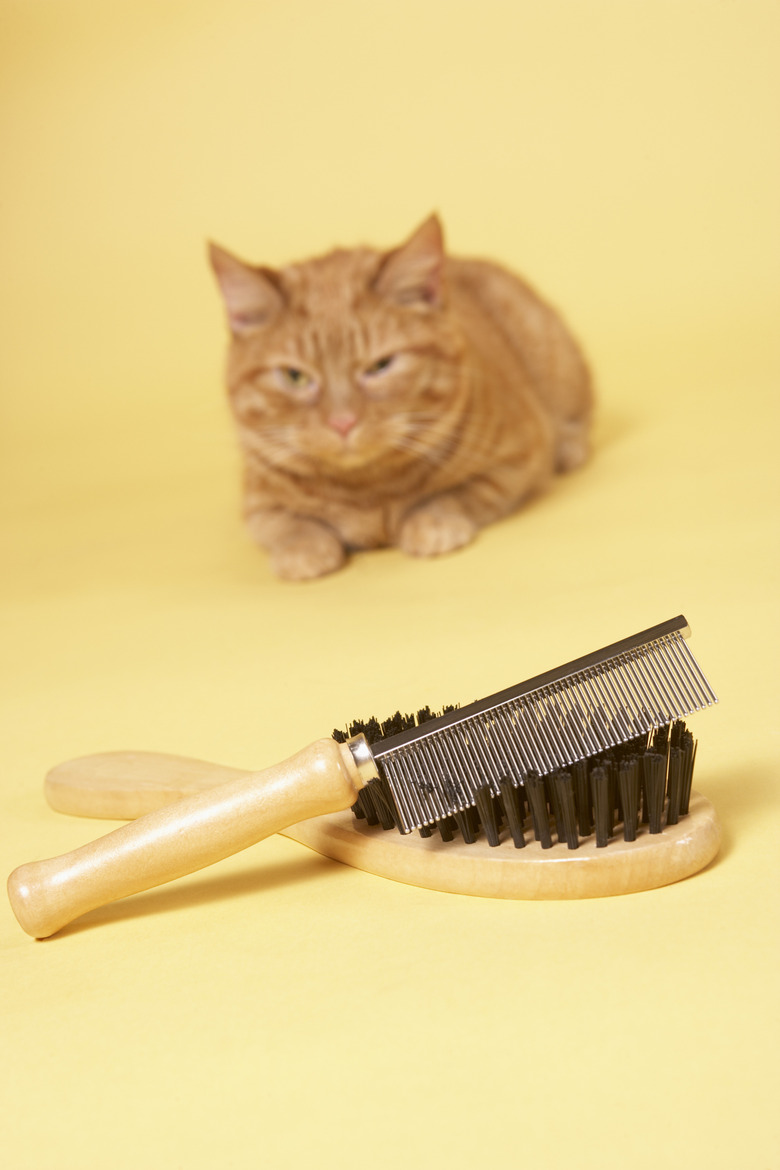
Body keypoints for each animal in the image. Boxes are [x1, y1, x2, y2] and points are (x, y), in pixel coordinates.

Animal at [206, 215, 591, 580]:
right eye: (295, 376)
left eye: (380, 366)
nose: (343, 422)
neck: (368, 492)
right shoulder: (257, 504)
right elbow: (288, 525)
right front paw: (301, 550)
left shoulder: (518, 461)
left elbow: (455, 496)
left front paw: (431, 523)